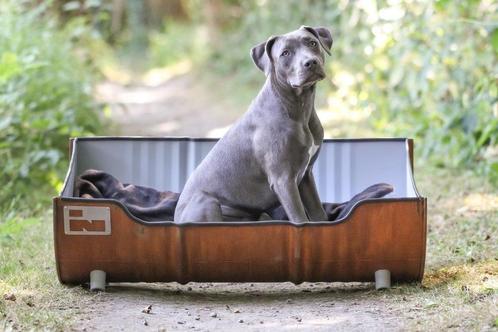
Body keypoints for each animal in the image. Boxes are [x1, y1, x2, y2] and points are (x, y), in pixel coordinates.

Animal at [173, 26, 332, 223]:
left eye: (312, 43)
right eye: (285, 53)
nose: (310, 62)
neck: (299, 108)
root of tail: (176, 218)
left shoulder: (306, 176)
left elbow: (319, 215)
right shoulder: (283, 180)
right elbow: (300, 219)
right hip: (207, 202)